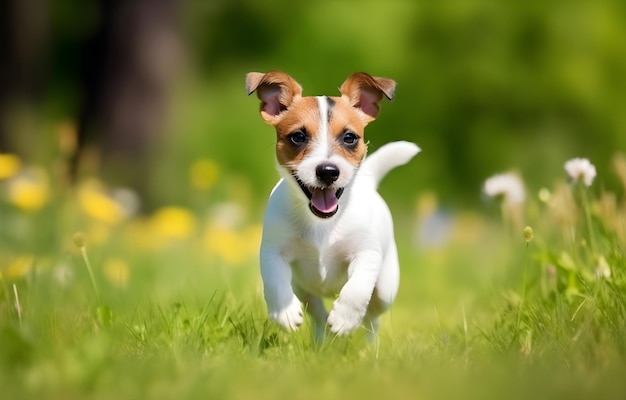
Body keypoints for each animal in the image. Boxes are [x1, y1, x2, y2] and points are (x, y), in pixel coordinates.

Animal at [245, 69, 420, 338]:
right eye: (298, 136)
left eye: (349, 137)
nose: (328, 171)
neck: (321, 222)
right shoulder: (273, 251)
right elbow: (274, 279)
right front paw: (284, 312)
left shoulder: (367, 253)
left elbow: (357, 288)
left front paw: (345, 318)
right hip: (302, 288)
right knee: (317, 312)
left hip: (385, 288)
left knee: (372, 318)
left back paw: (367, 342)